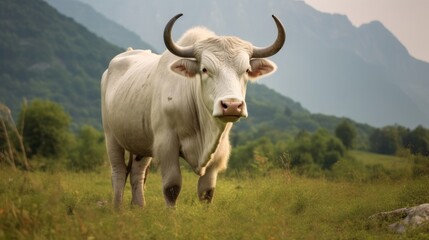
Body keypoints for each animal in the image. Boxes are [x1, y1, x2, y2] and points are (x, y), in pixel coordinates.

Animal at [101, 13, 284, 208]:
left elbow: (207, 192)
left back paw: (139, 207)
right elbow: (171, 187)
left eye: (247, 70)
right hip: (111, 136)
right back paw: (118, 208)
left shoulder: (218, 151)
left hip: (140, 143)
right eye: (204, 69)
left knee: (138, 172)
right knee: (119, 172)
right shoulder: (166, 145)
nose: (232, 105)